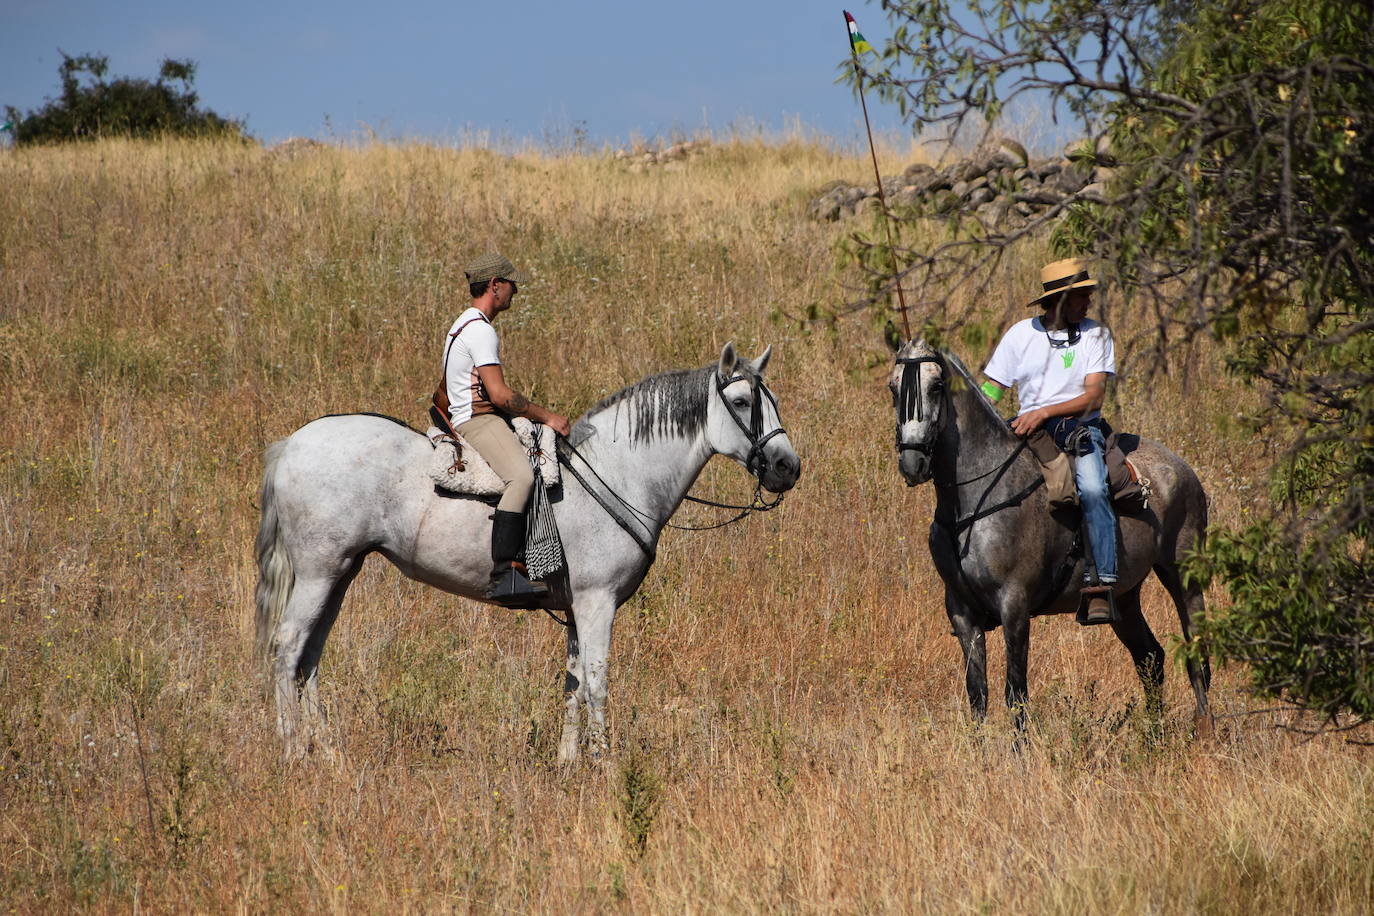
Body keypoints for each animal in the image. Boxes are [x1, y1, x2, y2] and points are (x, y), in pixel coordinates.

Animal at [255, 341, 802, 758]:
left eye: (771, 398)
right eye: (740, 401)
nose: (787, 467)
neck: (619, 471)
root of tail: (291, 444)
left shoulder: (578, 608)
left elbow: (573, 683)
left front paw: (568, 764)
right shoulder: (597, 602)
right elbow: (598, 682)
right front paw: (606, 766)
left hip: (340, 574)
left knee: (311, 656)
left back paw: (328, 751)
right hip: (319, 573)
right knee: (288, 647)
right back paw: (292, 749)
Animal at [890, 340, 1214, 736]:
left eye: (936, 387)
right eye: (893, 389)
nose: (912, 464)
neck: (973, 501)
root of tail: (1182, 468)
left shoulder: (1015, 605)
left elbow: (1015, 692)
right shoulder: (961, 611)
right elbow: (977, 694)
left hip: (1181, 574)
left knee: (1196, 655)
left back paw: (1204, 729)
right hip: (1124, 595)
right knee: (1149, 657)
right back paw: (1153, 738)